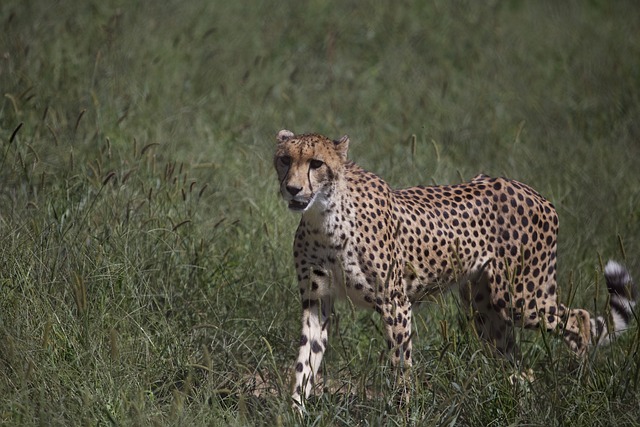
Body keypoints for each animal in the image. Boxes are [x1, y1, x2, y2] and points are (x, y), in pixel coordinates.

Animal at [272, 130, 636, 408]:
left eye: (316, 164)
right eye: (285, 160)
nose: (292, 189)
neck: (323, 215)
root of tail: (533, 191)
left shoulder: (395, 304)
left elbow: (400, 366)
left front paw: (402, 411)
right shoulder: (317, 301)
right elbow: (306, 360)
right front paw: (295, 410)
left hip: (522, 299)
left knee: (580, 320)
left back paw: (581, 383)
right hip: (486, 308)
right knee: (519, 364)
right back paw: (516, 402)